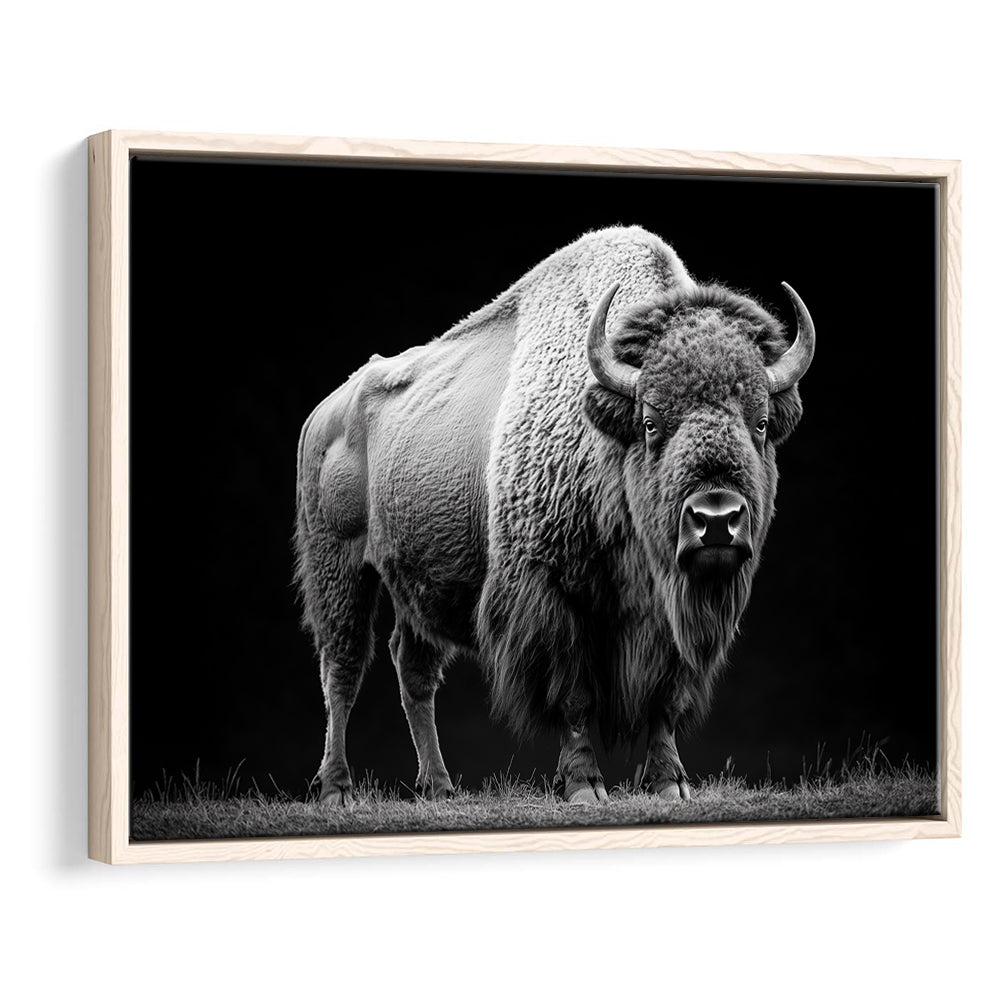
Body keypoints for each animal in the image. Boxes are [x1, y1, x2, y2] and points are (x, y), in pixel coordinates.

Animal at [295, 226, 814, 805]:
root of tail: (324, 413)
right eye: (651, 422)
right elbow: (573, 696)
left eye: (761, 422)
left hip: (413, 582)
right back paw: (336, 788)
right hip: (338, 565)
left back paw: (439, 786)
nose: (717, 518)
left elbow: (665, 700)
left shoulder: (671, 616)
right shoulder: (550, 598)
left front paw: (670, 783)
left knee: (412, 669)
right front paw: (585, 786)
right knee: (342, 667)